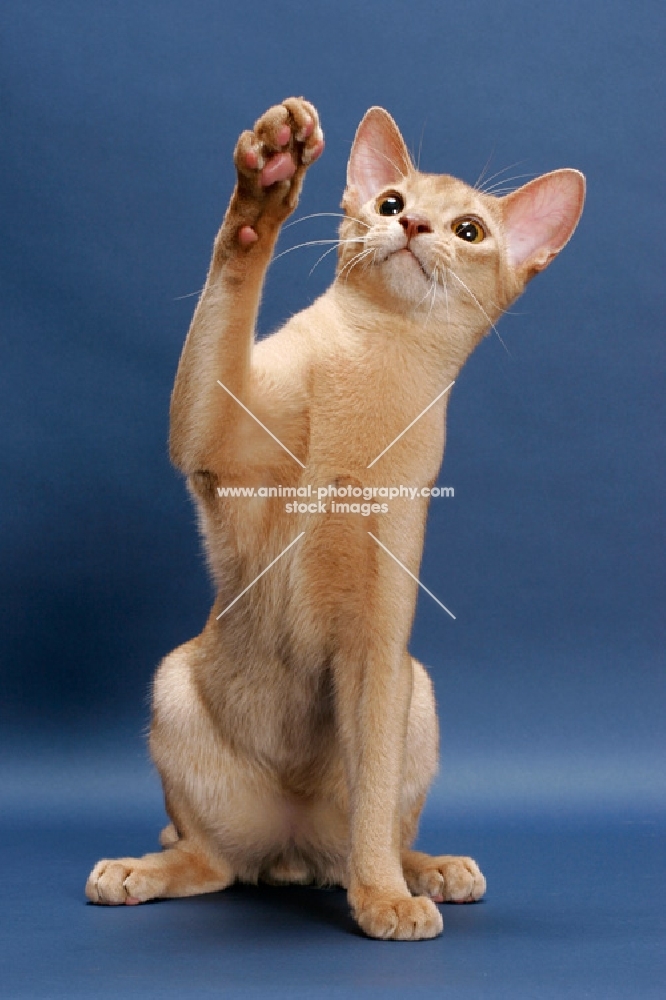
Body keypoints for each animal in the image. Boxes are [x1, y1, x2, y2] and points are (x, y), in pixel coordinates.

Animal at [85, 99, 584, 936]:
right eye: (389, 203)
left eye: (469, 230)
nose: (412, 225)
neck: (375, 363)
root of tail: (289, 852)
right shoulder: (211, 439)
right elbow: (231, 287)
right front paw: (268, 180)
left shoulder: (377, 647)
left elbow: (373, 799)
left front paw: (382, 899)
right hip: (173, 683)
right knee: (211, 863)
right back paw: (136, 871)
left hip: (418, 691)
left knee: (367, 834)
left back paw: (427, 871)